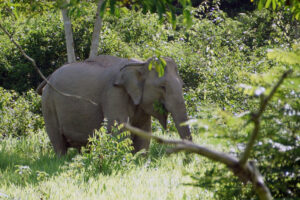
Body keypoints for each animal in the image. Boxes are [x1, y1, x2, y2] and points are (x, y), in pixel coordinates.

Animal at [39, 55, 192, 156]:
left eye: (182, 84)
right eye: (162, 87)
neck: (140, 64)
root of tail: (48, 77)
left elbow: (144, 131)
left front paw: (140, 159)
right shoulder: (114, 94)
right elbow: (118, 127)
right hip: (48, 104)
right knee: (57, 141)